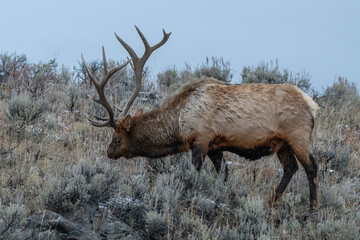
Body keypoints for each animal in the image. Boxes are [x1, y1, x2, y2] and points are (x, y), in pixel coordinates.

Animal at [82, 26, 320, 209]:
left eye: (116, 136)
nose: (109, 151)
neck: (178, 125)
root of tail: (314, 106)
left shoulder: (201, 139)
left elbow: (195, 173)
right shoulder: (216, 146)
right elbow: (224, 175)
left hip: (297, 135)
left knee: (311, 167)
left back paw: (312, 208)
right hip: (281, 143)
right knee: (290, 168)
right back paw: (271, 201)